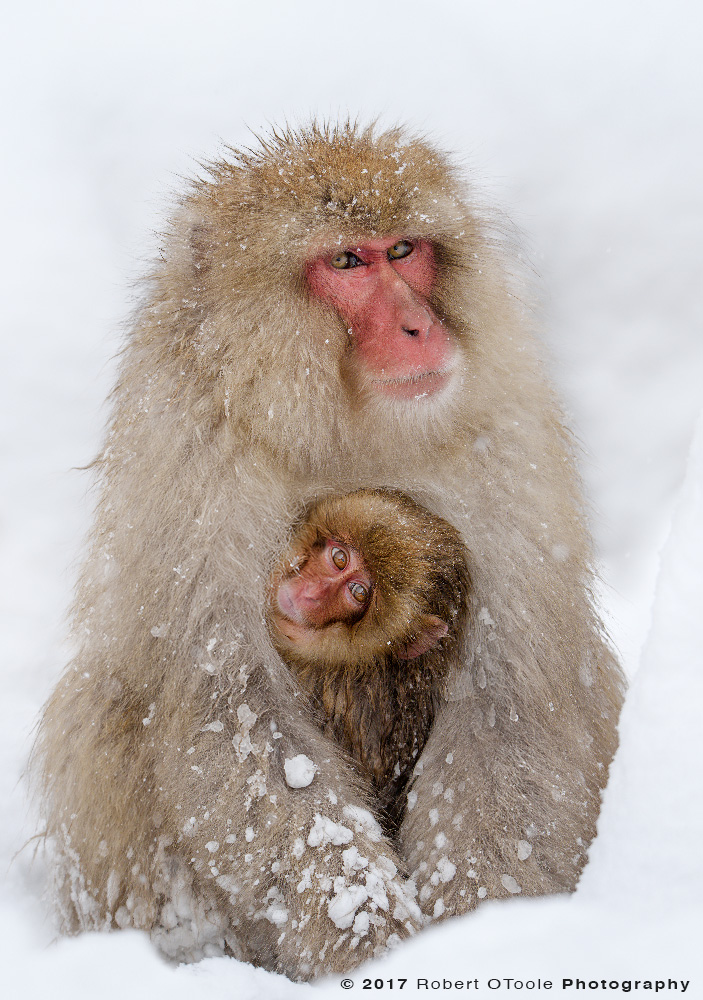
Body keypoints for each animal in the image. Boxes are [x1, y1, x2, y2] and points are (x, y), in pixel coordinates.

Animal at [35, 121, 624, 980]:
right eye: (347, 261)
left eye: (404, 248)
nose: (418, 327)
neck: (339, 422)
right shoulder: (190, 452)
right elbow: (230, 707)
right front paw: (368, 943)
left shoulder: (499, 429)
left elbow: (512, 695)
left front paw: (476, 931)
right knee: (102, 709)